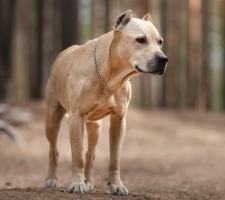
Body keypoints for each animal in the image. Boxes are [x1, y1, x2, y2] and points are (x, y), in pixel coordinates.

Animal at [43, 9, 167, 195]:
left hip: (95, 127)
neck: (109, 76)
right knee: (53, 151)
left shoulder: (119, 120)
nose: (163, 59)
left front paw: (117, 186)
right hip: (51, 120)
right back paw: (51, 179)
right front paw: (77, 183)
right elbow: (77, 156)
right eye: (140, 40)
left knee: (90, 154)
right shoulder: (75, 117)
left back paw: (88, 181)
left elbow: (114, 159)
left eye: (160, 42)